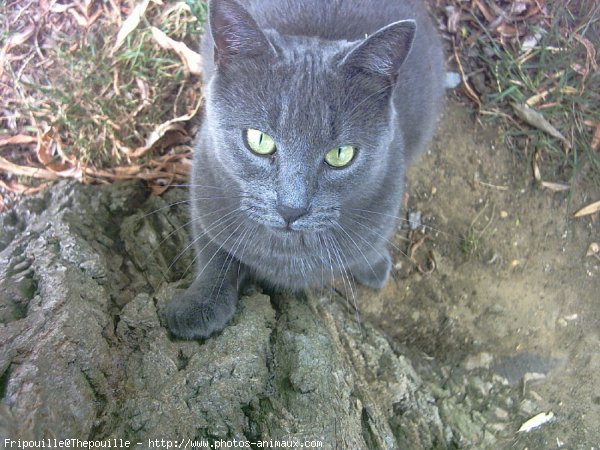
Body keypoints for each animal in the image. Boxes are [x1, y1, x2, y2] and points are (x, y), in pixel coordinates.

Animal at [165, 0, 446, 338]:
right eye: (259, 140)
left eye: (341, 154)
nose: (291, 208)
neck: (288, 255)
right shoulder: (205, 188)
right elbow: (213, 252)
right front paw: (199, 305)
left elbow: (371, 242)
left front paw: (374, 265)